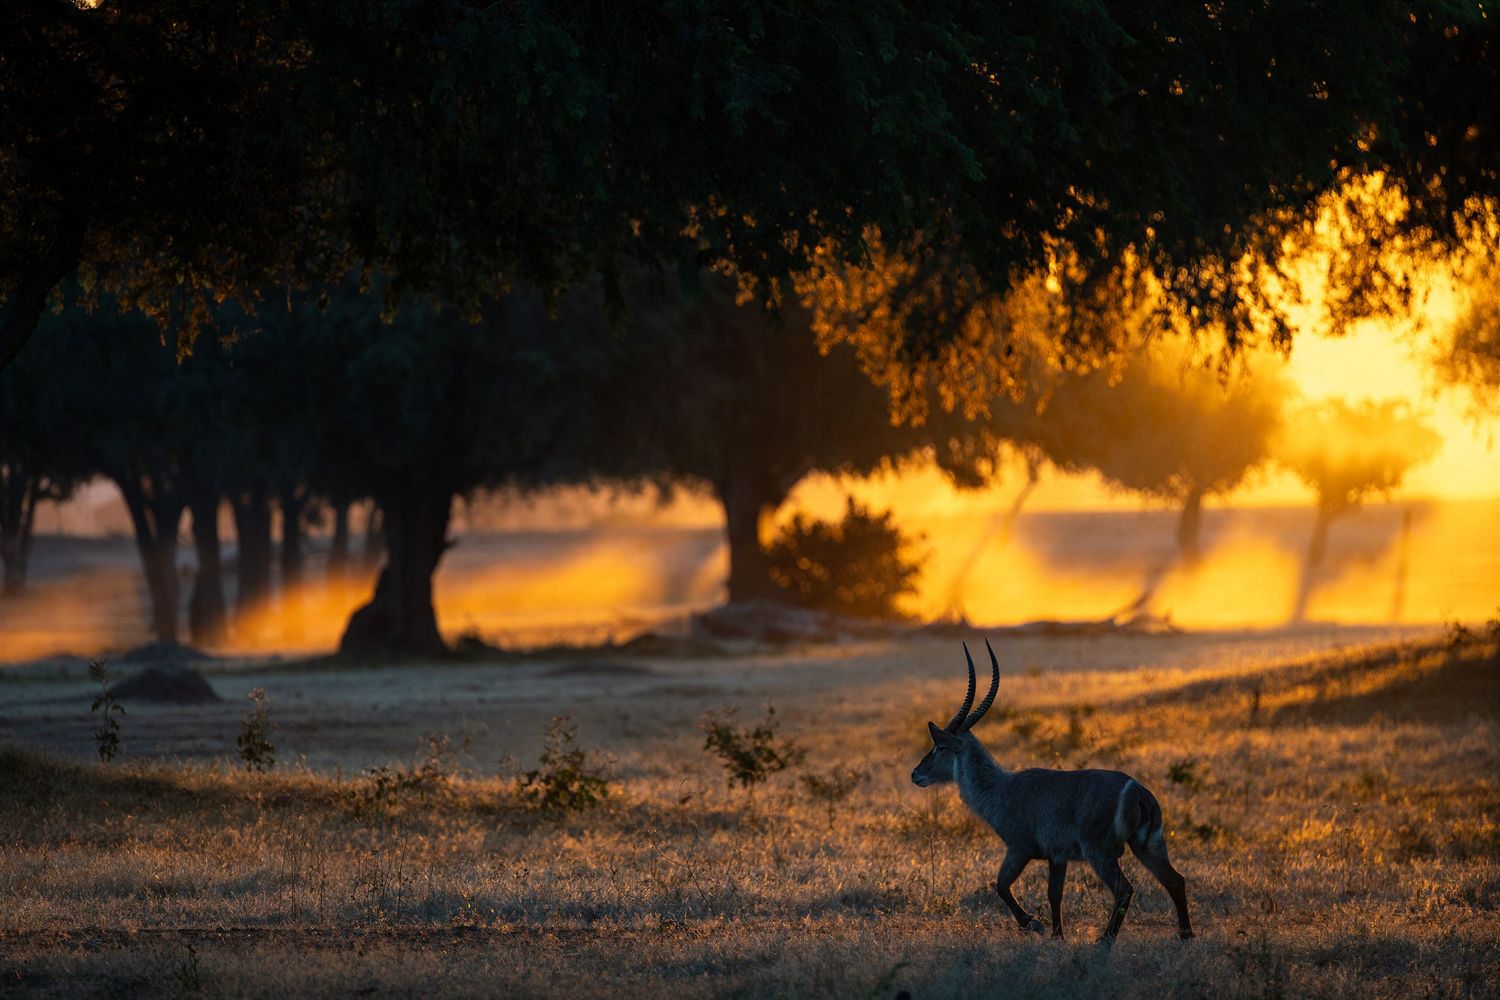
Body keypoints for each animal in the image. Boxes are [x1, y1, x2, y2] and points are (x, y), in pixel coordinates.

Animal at [911, 640, 1194, 942]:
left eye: (939, 747)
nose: (916, 773)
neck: (1001, 789)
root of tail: (1138, 791)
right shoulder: (1057, 856)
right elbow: (1054, 894)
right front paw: (1057, 936)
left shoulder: (1019, 848)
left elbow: (1001, 885)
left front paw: (1033, 923)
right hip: (1148, 844)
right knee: (1175, 880)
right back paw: (1185, 935)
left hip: (1100, 851)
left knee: (1124, 888)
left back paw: (1104, 940)